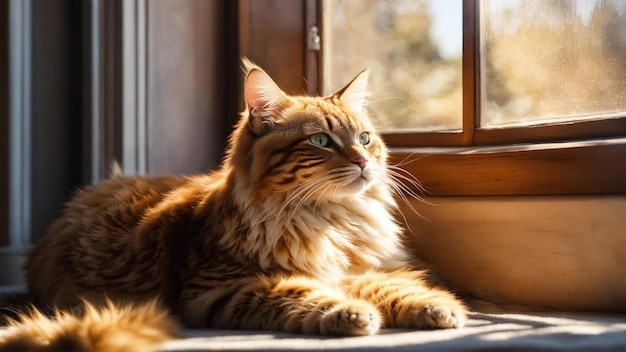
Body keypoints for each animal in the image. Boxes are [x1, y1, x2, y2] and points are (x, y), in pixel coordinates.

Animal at [0, 59, 466, 350]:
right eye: (320, 141)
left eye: (365, 138)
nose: (364, 161)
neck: (329, 220)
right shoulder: (219, 289)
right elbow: (303, 292)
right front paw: (350, 312)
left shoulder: (359, 269)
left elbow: (391, 286)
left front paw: (437, 307)